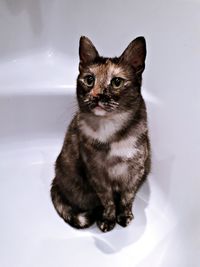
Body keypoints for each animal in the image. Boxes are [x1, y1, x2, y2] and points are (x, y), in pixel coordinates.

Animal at [50, 35, 151, 232]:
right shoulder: (96, 174)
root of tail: (55, 181)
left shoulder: (136, 170)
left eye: (117, 82)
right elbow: (108, 200)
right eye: (89, 79)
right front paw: (108, 220)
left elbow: (127, 197)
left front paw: (124, 216)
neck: (110, 130)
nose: (96, 95)